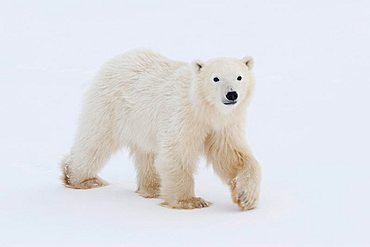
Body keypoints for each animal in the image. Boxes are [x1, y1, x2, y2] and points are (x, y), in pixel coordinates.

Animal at [62, 49, 260, 210]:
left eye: (239, 77)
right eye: (215, 78)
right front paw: (190, 201)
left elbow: (231, 155)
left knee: (147, 155)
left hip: (141, 124)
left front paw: (246, 197)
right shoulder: (183, 115)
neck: (204, 108)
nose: (231, 94)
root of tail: (116, 60)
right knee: (96, 141)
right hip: (111, 106)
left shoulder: (223, 124)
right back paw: (82, 178)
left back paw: (152, 189)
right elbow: (177, 153)